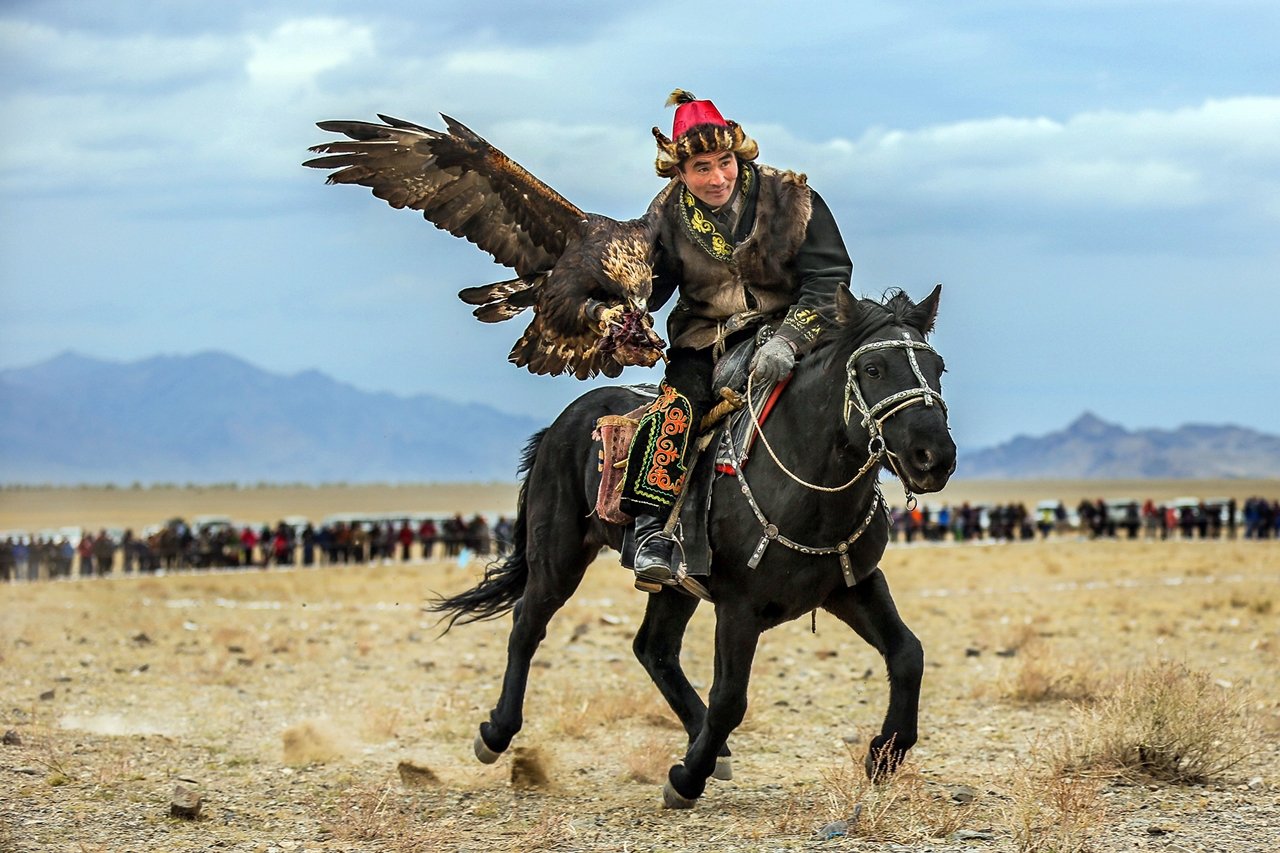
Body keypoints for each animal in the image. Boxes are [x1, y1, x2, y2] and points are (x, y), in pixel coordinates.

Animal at [435, 284, 957, 804]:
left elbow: (908, 655)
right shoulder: (739, 607)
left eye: (938, 368)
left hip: (673, 585)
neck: (804, 485)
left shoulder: (854, 585)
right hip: (559, 556)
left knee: (653, 648)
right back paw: (496, 733)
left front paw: (885, 751)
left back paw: (708, 743)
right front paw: (686, 778)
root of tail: (561, 425)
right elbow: (729, 698)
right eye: (873, 369)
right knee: (527, 625)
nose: (933, 457)